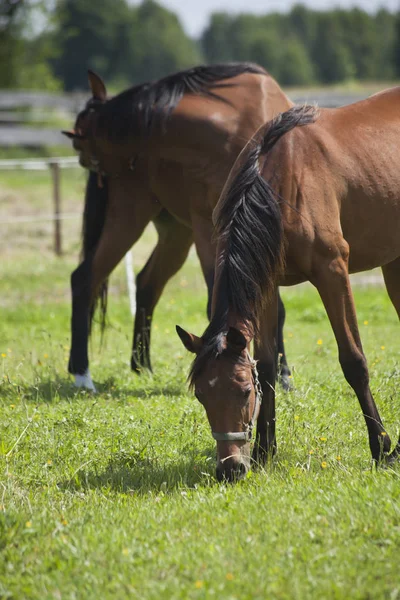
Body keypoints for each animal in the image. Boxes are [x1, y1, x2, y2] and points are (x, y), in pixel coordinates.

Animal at [177, 89, 400, 480]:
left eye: (243, 391)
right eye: (202, 394)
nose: (230, 469)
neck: (278, 185)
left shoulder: (333, 270)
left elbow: (354, 361)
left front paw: (382, 448)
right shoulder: (268, 284)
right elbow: (267, 366)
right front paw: (265, 451)